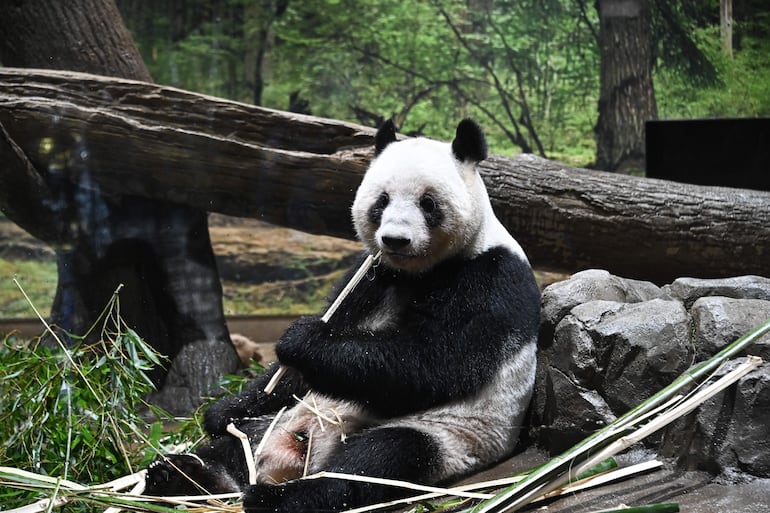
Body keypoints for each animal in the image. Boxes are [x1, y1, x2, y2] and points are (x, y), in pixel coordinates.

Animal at [144, 119, 541, 512]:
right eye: (381, 201)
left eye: (428, 203)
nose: (395, 240)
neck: (418, 273)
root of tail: (295, 457)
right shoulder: (370, 276)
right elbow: (295, 371)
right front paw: (223, 411)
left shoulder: (489, 277)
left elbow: (434, 362)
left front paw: (303, 340)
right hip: (279, 421)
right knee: (236, 447)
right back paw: (183, 475)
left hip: (449, 437)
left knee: (376, 460)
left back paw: (279, 497)